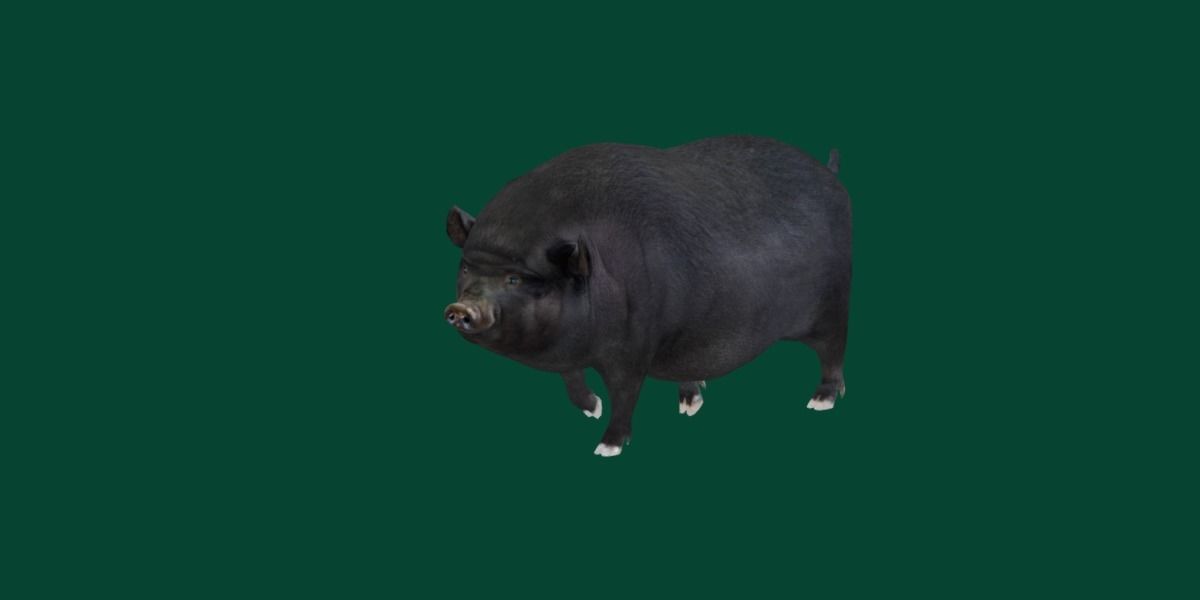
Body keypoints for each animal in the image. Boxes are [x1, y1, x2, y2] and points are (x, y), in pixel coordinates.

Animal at [444, 135, 851, 457]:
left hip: (834, 301)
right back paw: (690, 401)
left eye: (515, 278)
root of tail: (830, 173)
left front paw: (606, 447)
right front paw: (591, 408)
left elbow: (625, 394)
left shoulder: (634, 345)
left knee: (833, 349)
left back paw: (820, 402)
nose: (461, 308)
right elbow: (571, 379)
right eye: (465, 268)